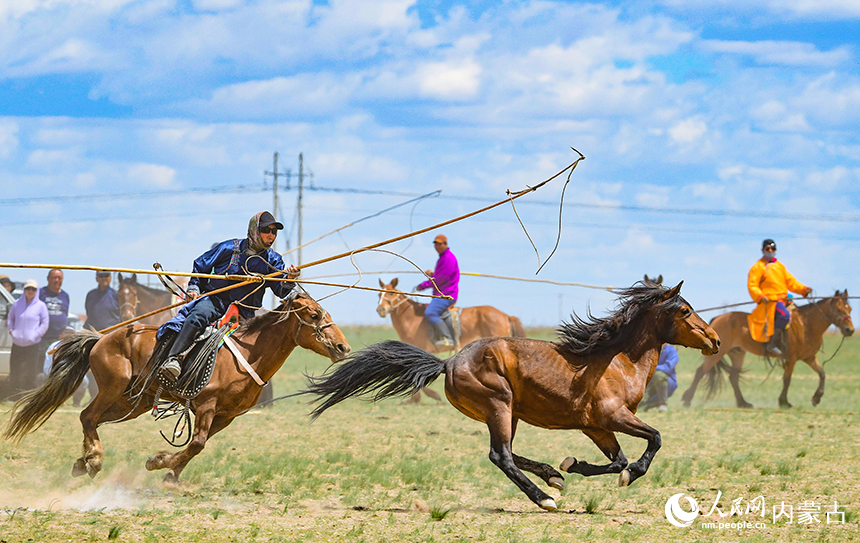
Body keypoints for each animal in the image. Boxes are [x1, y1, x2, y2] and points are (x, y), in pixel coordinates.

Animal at [4, 292, 351, 483]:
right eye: (315, 315)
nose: (342, 347)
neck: (246, 354)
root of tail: (101, 337)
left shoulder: (226, 415)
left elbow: (199, 444)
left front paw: (170, 471)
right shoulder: (207, 405)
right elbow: (196, 443)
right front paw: (159, 462)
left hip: (134, 402)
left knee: (92, 421)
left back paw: (84, 461)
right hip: (112, 387)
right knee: (87, 416)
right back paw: (95, 459)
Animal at [376, 277, 526, 402]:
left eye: (391, 293)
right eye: (379, 295)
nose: (381, 309)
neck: (412, 318)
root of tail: (506, 316)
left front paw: (428, 396)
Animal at [681, 290, 853, 409]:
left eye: (849, 309)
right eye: (839, 310)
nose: (850, 330)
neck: (806, 324)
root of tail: (718, 318)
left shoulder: (809, 357)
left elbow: (822, 374)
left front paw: (816, 398)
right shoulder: (791, 358)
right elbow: (787, 379)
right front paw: (784, 402)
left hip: (737, 353)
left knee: (733, 377)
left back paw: (743, 403)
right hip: (719, 353)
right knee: (701, 371)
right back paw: (687, 399)